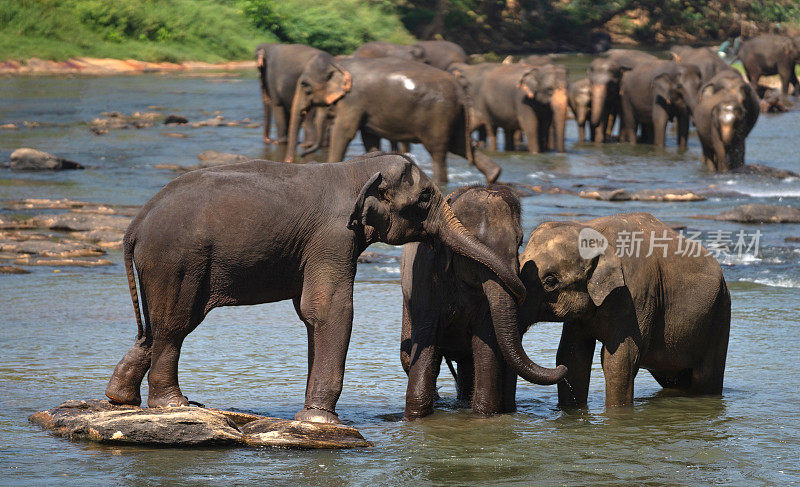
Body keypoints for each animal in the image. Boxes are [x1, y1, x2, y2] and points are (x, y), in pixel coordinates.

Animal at [104, 152, 524, 424]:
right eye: (423, 199)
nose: (524, 285)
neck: (356, 169)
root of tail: (136, 223)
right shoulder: (334, 236)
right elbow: (330, 309)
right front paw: (322, 422)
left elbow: (310, 314)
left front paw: (312, 416)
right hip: (177, 260)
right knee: (175, 324)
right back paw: (175, 407)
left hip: (166, 264)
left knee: (159, 325)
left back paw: (121, 399)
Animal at [400, 185, 568, 422]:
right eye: (474, 245)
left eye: (520, 242)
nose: (562, 366)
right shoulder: (425, 276)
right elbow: (426, 338)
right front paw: (416, 419)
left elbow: (486, 342)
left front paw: (483, 419)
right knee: (409, 358)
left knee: (467, 367)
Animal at [520, 214, 732, 408]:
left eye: (550, 281)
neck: (591, 228)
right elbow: (573, 355)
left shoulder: (637, 294)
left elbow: (619, 360)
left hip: (720, 314)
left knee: (706, 376)